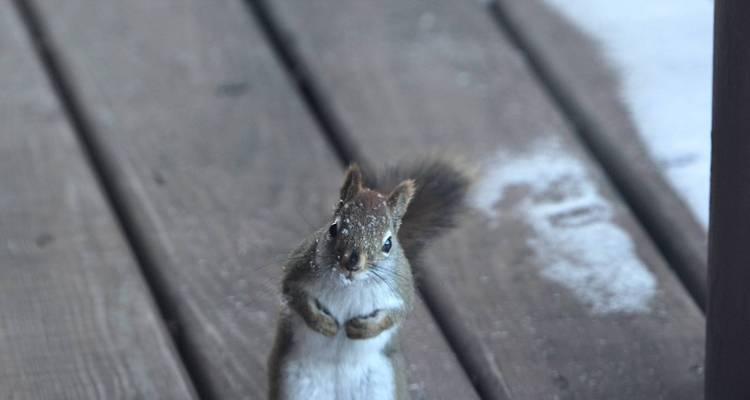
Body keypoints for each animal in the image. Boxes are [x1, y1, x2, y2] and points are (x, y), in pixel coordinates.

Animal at [268, 159, 470, 400]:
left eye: (388, 244)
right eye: (333, 228)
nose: (352, 264)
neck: (351, 285)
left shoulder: (401, 292)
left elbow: (395, 315)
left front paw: (364, 329)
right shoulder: (297, 271)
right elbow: (295, 296)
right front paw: (323, 324)